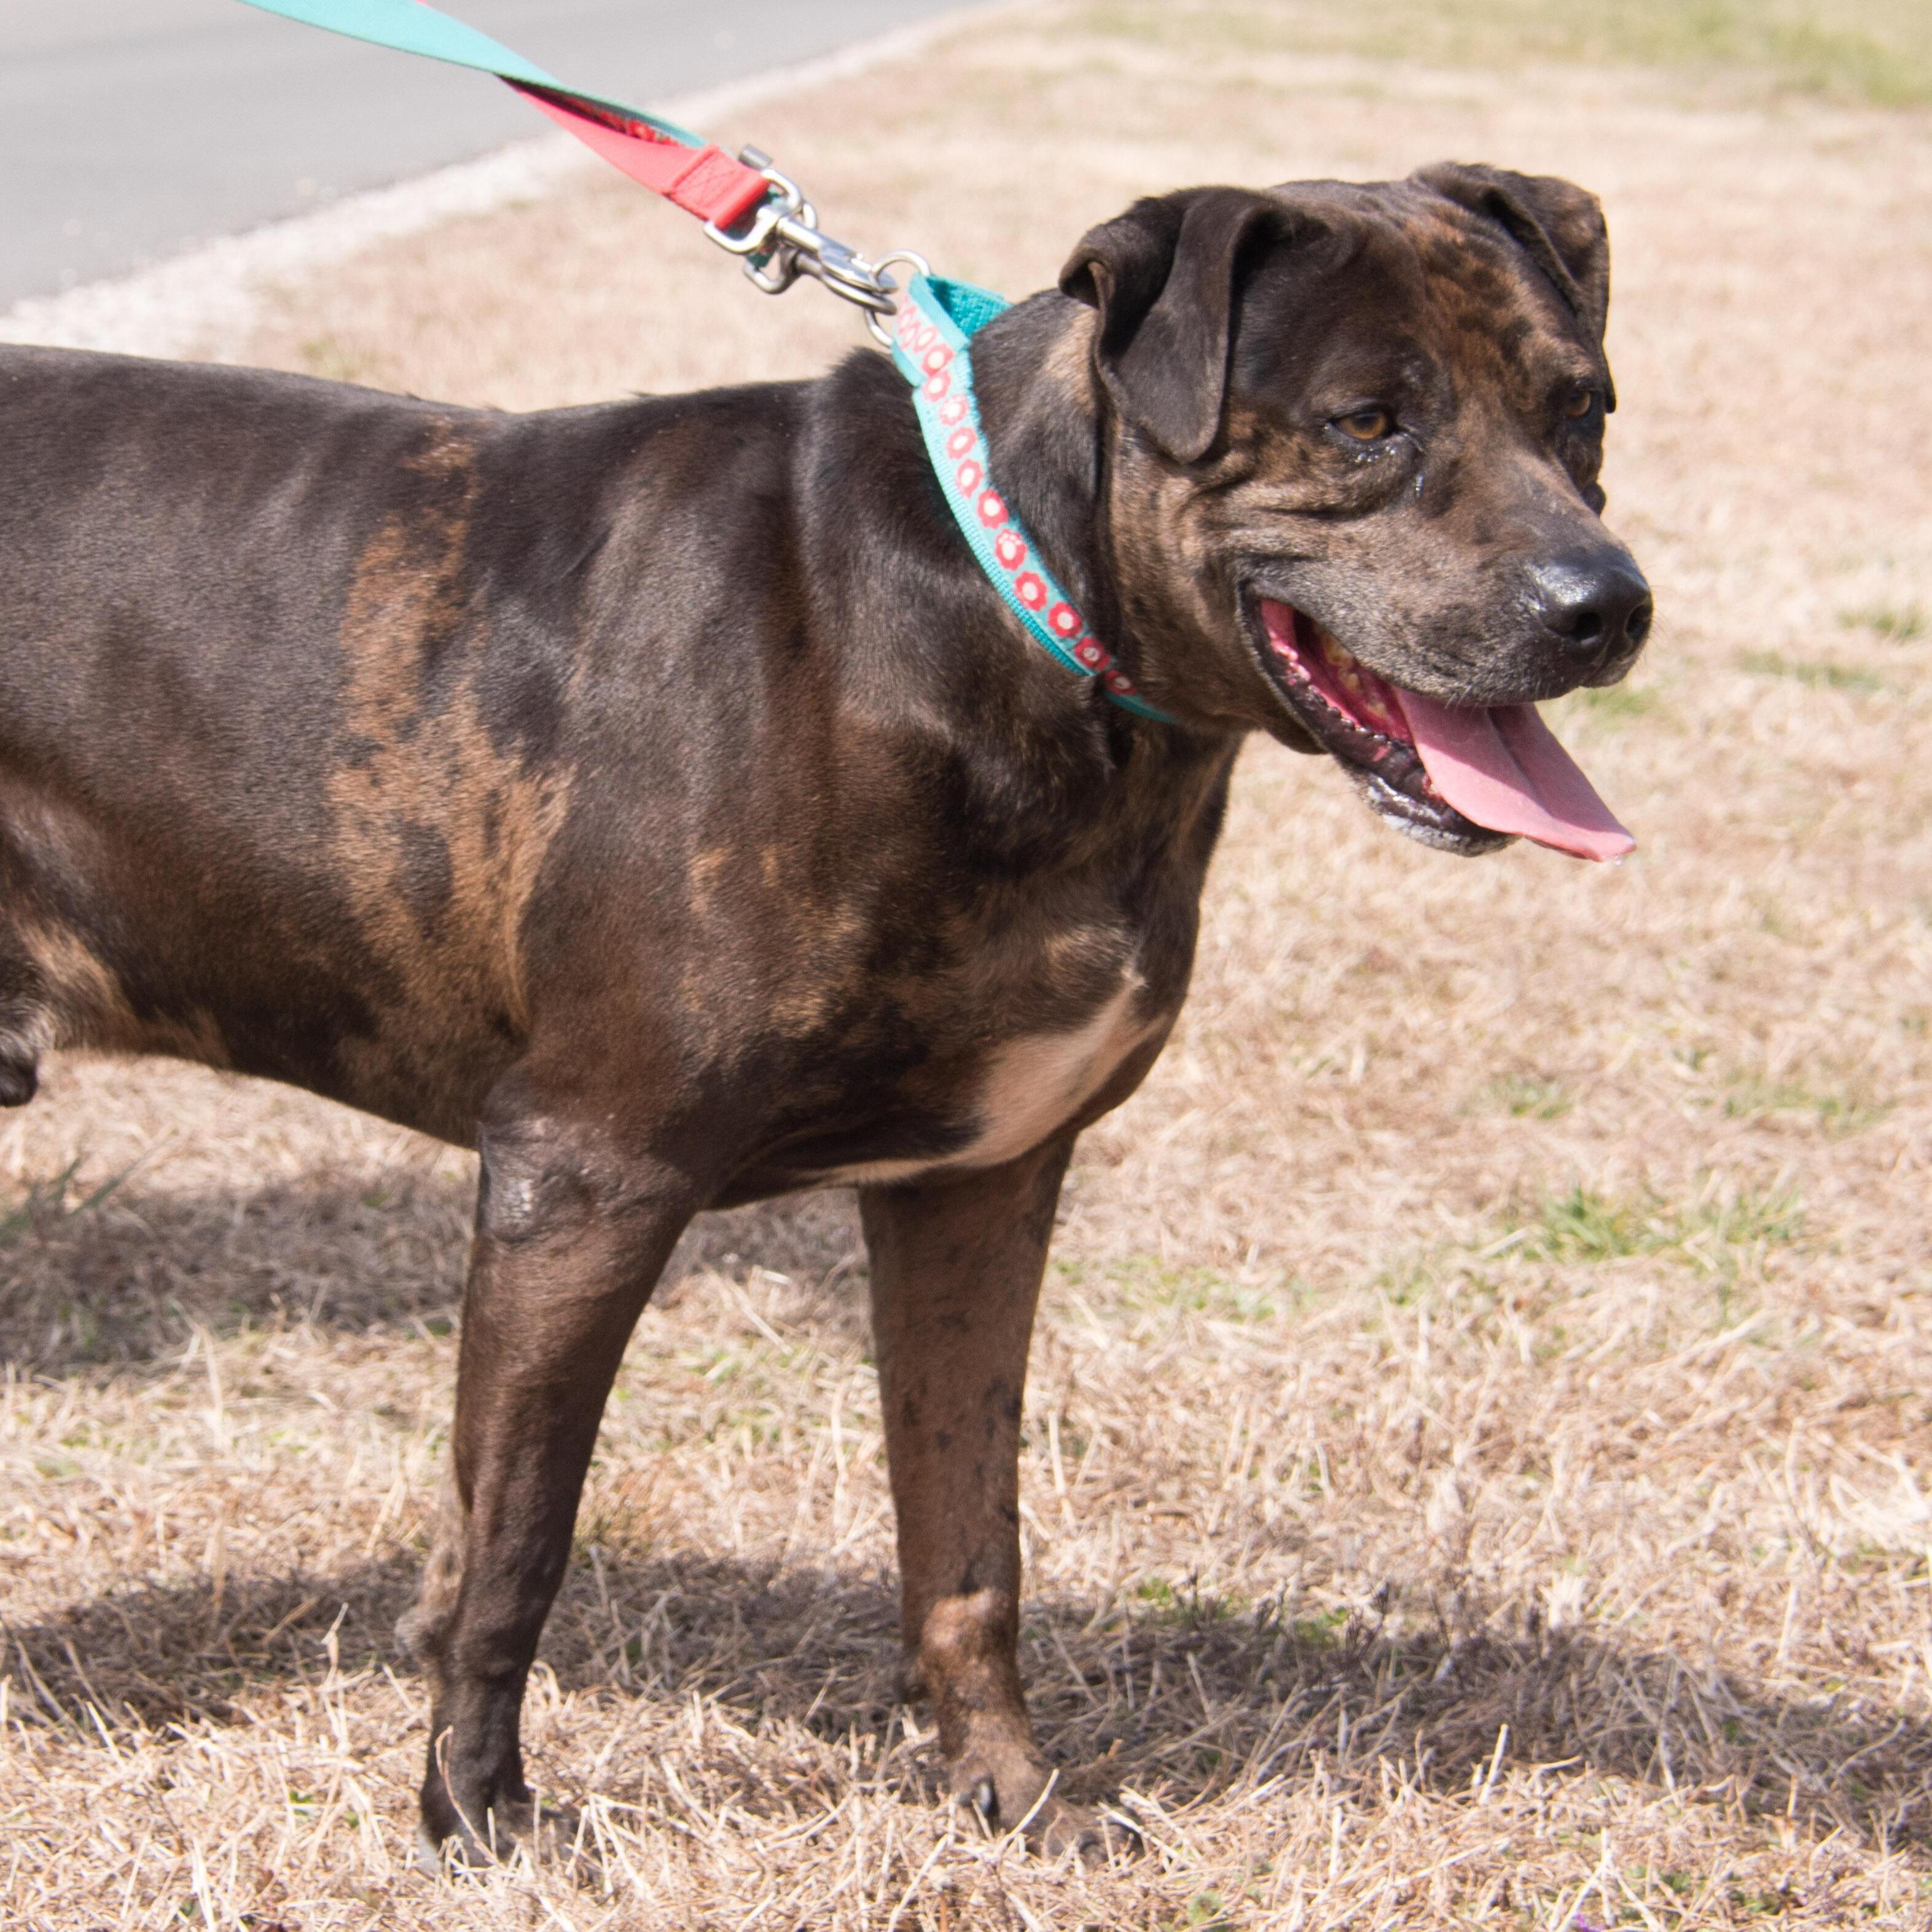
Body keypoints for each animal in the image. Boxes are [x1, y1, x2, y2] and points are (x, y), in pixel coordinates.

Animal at [4, 170, 1646, 1870]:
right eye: (1366, 421)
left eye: (1580, 409)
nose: (1609, 608)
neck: (1016, 613)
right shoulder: (582, 1175)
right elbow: (516, 1539)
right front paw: (476, 1813)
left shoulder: (976, 1187)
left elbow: (968, 1543)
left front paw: (1013, 1796)